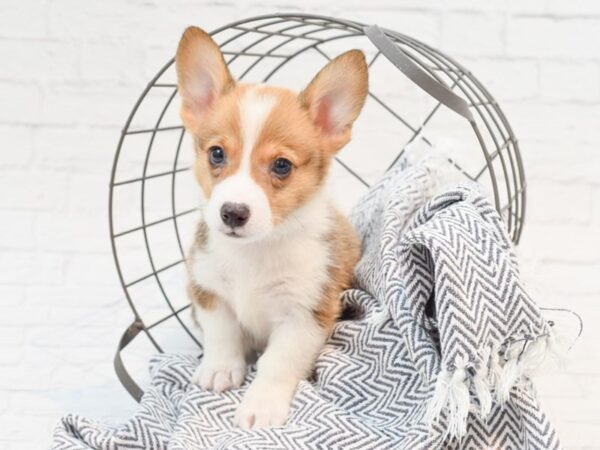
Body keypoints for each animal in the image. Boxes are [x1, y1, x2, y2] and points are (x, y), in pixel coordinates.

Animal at [176, 27, 368, 428]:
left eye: (282, 165)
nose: (232, 213)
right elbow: (221, 335)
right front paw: (220, 370)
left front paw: (261, 405)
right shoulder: (209, 291)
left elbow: (278, 363)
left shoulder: (304, 314)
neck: (253, 252)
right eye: (216, 154)